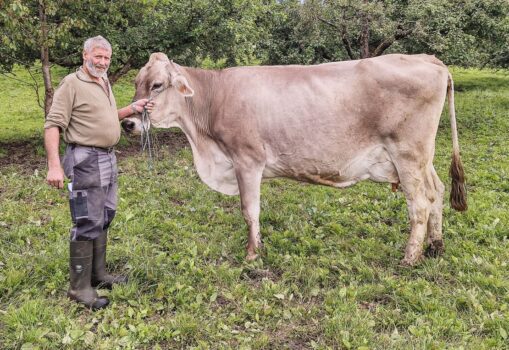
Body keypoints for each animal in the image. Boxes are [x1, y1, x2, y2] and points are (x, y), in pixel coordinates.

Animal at [122, 52, 464, 266]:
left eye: (156, 85)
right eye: (137, 83)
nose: (128, 123)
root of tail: (427, 58)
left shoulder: (247, 160)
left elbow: (249, 210)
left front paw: (252, 253)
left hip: (407, 154)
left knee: (419, 204)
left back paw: (409, 258)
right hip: (422, 158)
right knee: (436, 192)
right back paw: (435, 246)